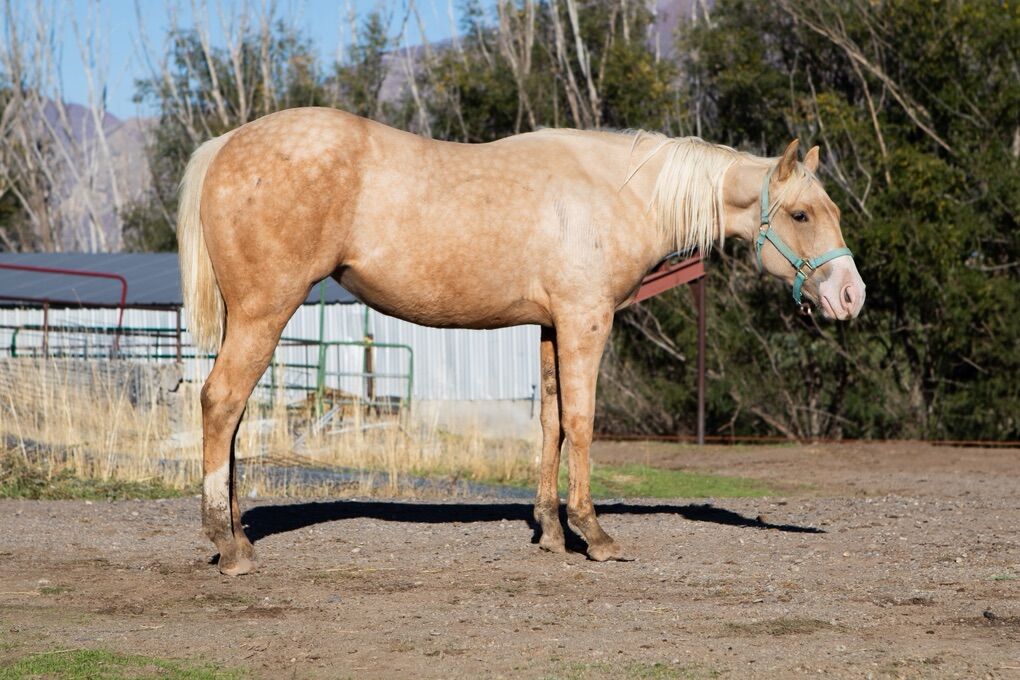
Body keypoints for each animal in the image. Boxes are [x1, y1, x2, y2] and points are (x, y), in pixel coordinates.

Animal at [177, 107, 865, 575]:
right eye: (801, 214)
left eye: (830, 210)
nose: (851, 296)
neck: (617, 191)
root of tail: (226, 144)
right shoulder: (586, 322)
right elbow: (581, 422)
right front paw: (595, 536)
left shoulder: (551, 327)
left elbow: (551, 423)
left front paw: (553, 534)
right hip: (266, 311)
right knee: (221, 403)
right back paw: (229, 547)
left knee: (232, 417)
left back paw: (236, 534)